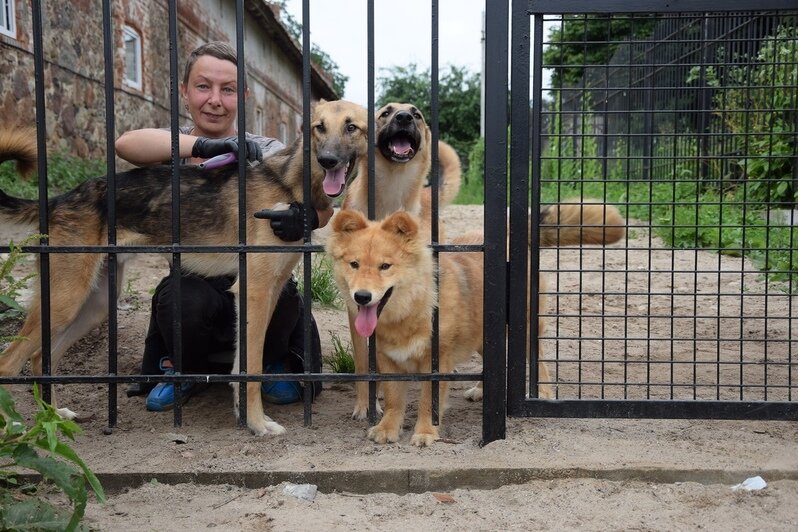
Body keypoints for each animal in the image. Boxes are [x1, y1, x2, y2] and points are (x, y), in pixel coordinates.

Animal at [0, 101, 368, 436]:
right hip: (65, 300)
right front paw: (257, 424)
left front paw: (245, 415)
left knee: (40, 358)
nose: (329, 160)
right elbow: (250, 366)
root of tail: (60, 200)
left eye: (351, 127)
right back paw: (14, 428)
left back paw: (53, 415)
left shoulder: (270, 290)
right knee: (9, 363)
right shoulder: (255, 290)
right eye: (319, 127)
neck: (287, 183)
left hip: (93, 305)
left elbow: (243, 366)